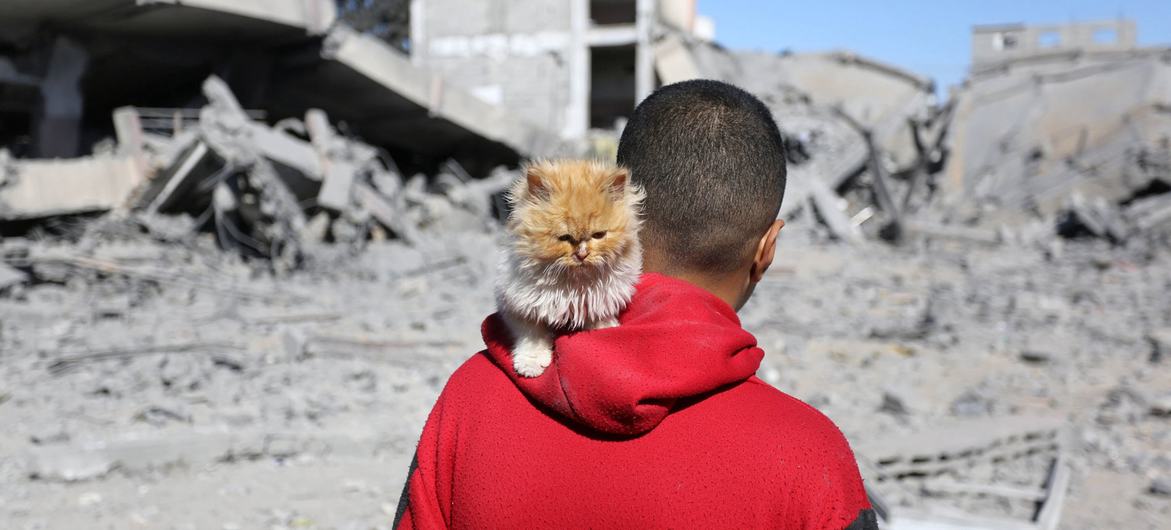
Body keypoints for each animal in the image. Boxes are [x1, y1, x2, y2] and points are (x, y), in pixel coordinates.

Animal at [491, 159, 646, 379]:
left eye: (598, 235)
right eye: (564, 238)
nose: (582, 254)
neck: (573, 284)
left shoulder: (601, 302)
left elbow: (601, 323)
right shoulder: (521, 308)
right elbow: (532, 339)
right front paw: (530, 365)